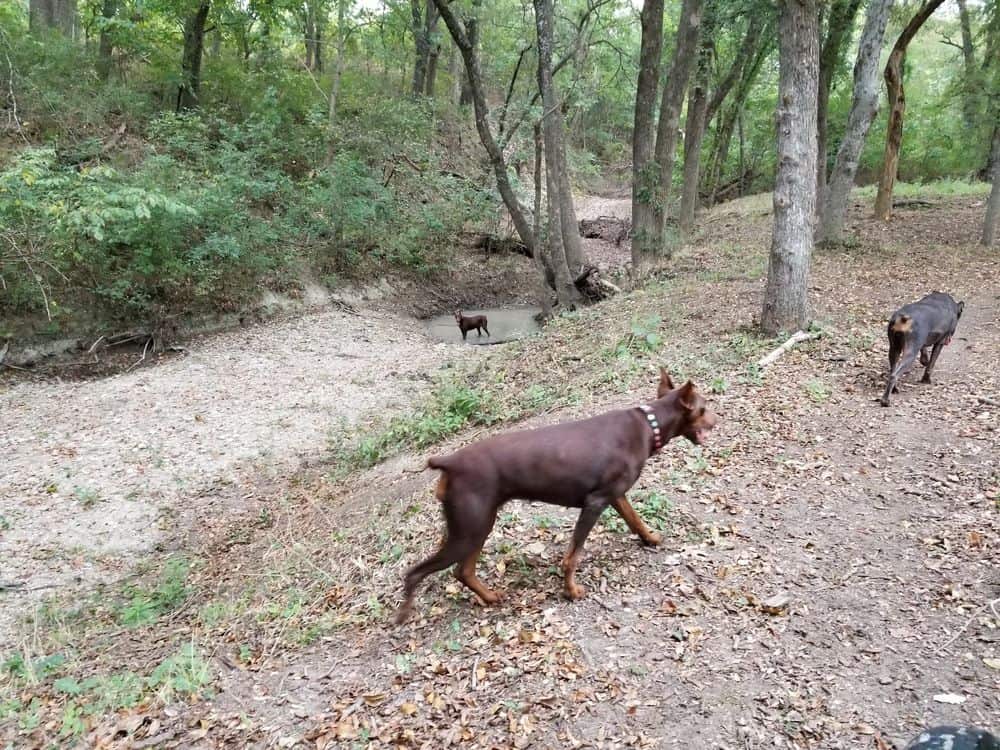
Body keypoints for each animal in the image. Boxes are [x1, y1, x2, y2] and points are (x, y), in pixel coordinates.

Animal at [394, 368, 716, 624]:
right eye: (704, 407)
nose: (718, 420)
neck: (649, 425)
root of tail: (449, 461)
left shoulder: (615, 495)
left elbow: (635, 519)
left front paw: (650, 539)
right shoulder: (595, 502)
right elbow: (573, 556)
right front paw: (571, 591)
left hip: (479, 525)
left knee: (463, 571)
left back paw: (491, 597)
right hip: (469, 528)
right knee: (416, 573)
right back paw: (404, 613)